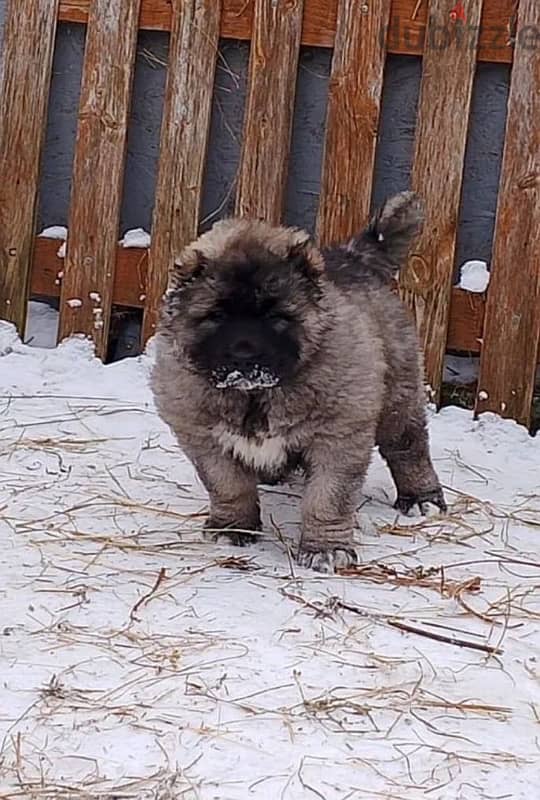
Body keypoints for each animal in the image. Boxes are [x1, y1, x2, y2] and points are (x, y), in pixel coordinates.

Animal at [150, 191, 446, 572]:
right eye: (217, 315)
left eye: (276, 316)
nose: (244, 356)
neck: (255, 396)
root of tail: (353, 259)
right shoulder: (204, 437)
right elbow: (228, 486)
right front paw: (233, 528)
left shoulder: (338, 437)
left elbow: (328, 499)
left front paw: (326, 548)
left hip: (398, 395)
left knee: (408, 447)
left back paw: (422, 498)